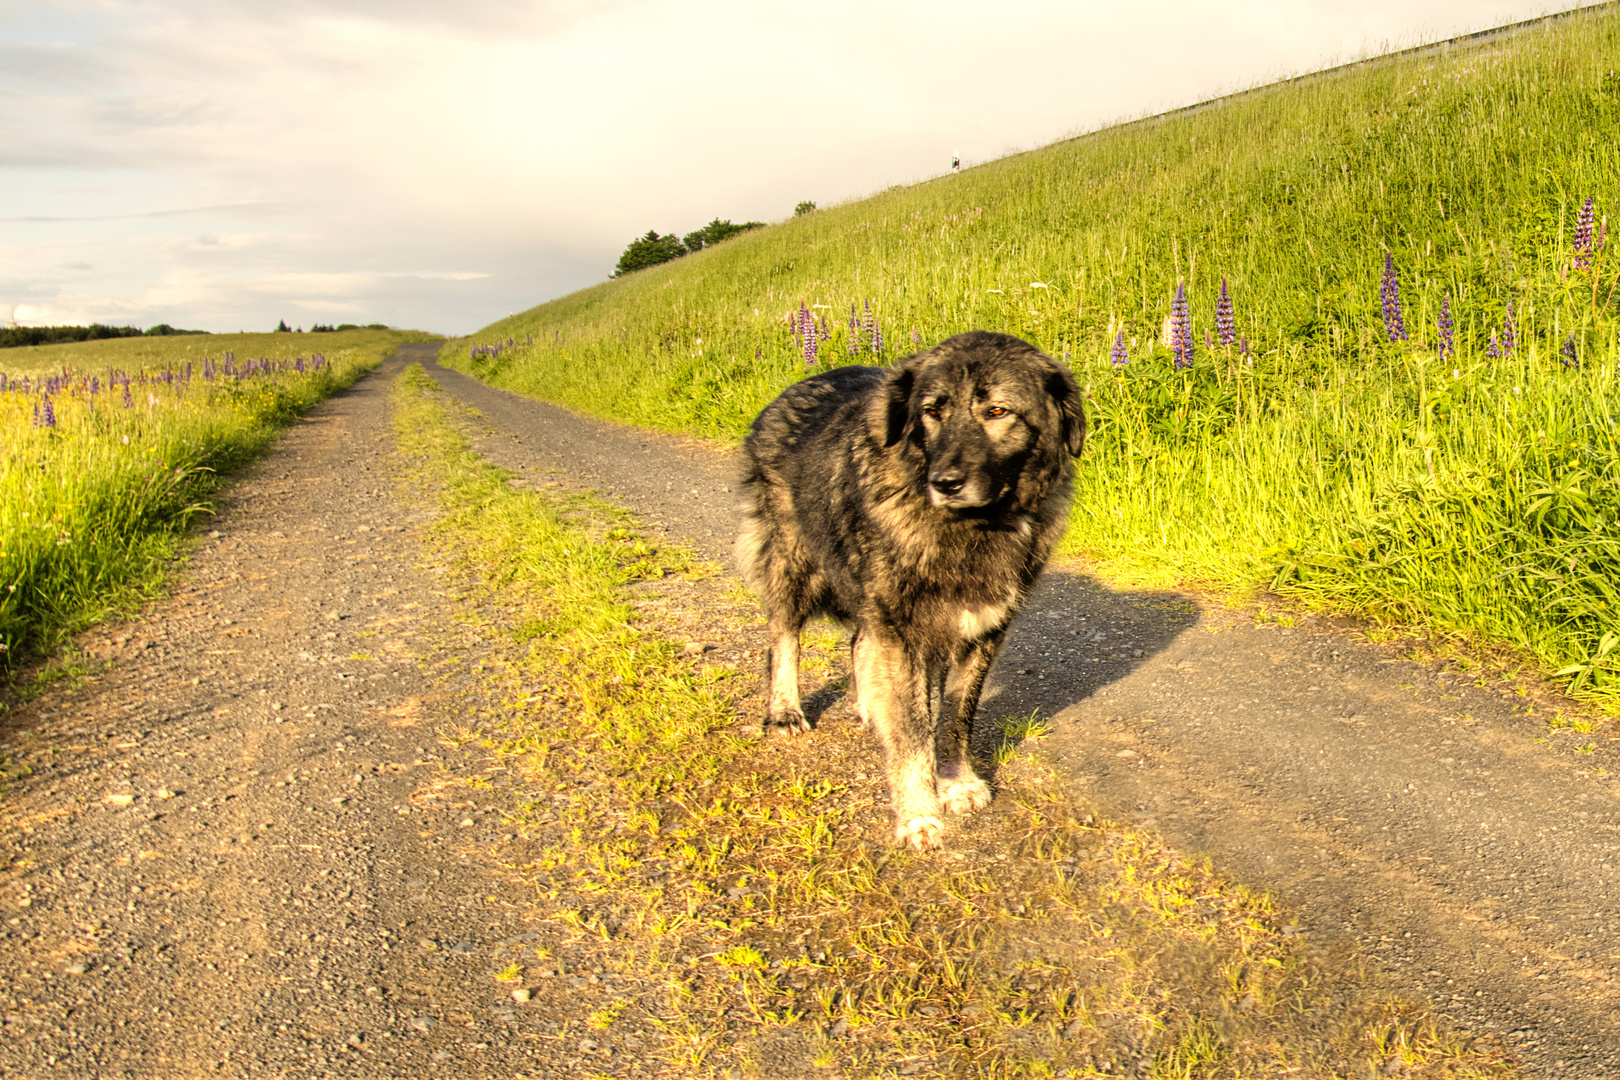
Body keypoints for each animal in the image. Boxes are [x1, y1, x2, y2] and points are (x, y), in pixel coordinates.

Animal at [741, 327, 1082, 841]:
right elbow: (913, 728)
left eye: (997, 411)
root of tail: (791, 391)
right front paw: (918, 812)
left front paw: (956, 783)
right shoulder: (905, 633)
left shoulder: (979, 632)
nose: (945, 482)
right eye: (931, 412)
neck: (972, 528)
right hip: (793, 562)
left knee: (859, 642)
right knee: (783, 638)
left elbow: (954, 718)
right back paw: (783, 711)